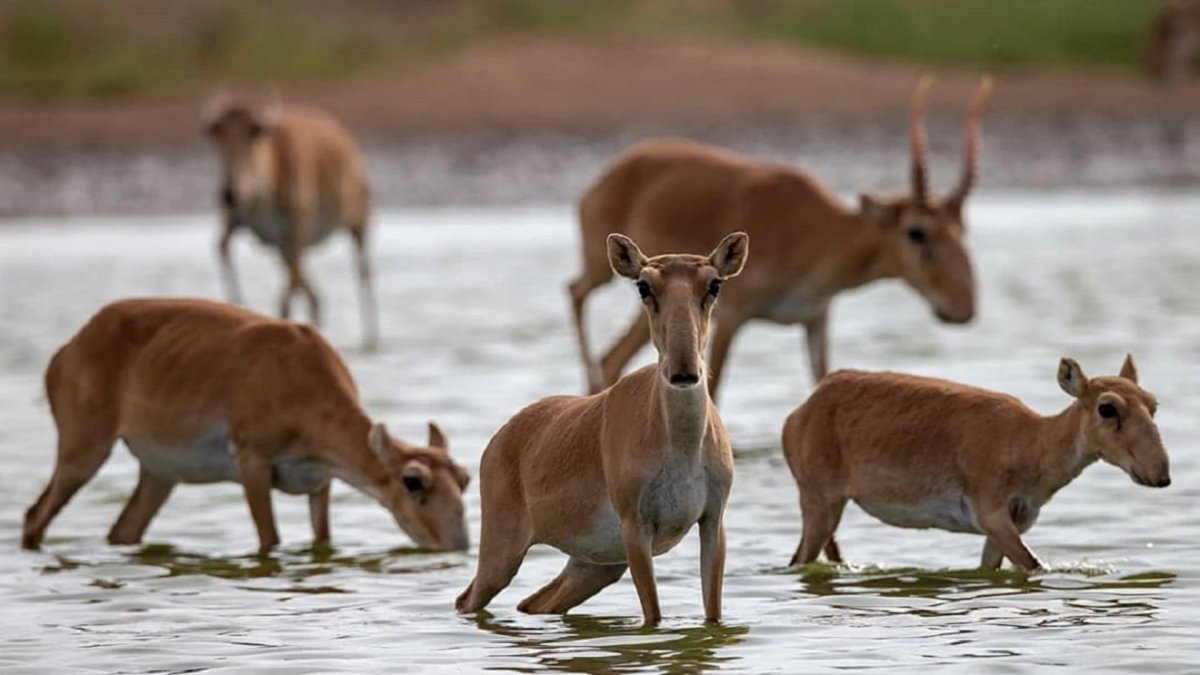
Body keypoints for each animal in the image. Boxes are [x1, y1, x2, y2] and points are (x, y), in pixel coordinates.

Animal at [22, 297, 468, 552]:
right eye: (413, 480)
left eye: (464, 478)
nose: (459, 544)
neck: (303, 377)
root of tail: (67, 350)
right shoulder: (253, 463)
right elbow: (270, 540)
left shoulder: (320, 482)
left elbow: (322, 541)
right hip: (84, 450)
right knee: (34, 515)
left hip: (159, 474)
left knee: (123, 531)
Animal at [204, 96, 376, 345]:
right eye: (216, 134)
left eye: (255, 133)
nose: (229, 193)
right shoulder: (239, 222)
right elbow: (222, 247)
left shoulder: (298, 228)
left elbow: (287, 295)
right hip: (283, 245)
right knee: (314, 293)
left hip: (358, 222)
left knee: (362, 273)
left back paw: (370, 340)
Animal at [453, 233, 744, 624]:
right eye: (643, 286)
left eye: (715, 284)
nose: (683, 372)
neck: (681, 446)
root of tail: (499, 440)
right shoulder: (635, 528)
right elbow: (653, 615)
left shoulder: (713, 521)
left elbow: (712, 615)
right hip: (502, 553)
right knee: (468, 598)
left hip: (594, 565)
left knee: (535, 602)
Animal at [566, 76, 988, 396]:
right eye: (917, 232)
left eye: (962, 229)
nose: (963, 309)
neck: (819, 233)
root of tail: (610, 174)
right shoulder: (731, 317)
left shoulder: (815, 319)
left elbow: (821, 382)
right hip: (605, 270)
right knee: (577, 293)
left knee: (610, 358)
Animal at [782, 355, 1166, 569]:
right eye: (1107, 407)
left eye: (1152, 402)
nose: (1160, 475)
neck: (1029, 441)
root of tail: (798, 413)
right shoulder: (992, 515)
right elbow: (1034, 565)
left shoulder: (1011, 525)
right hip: (820, 504)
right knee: (798, 559)